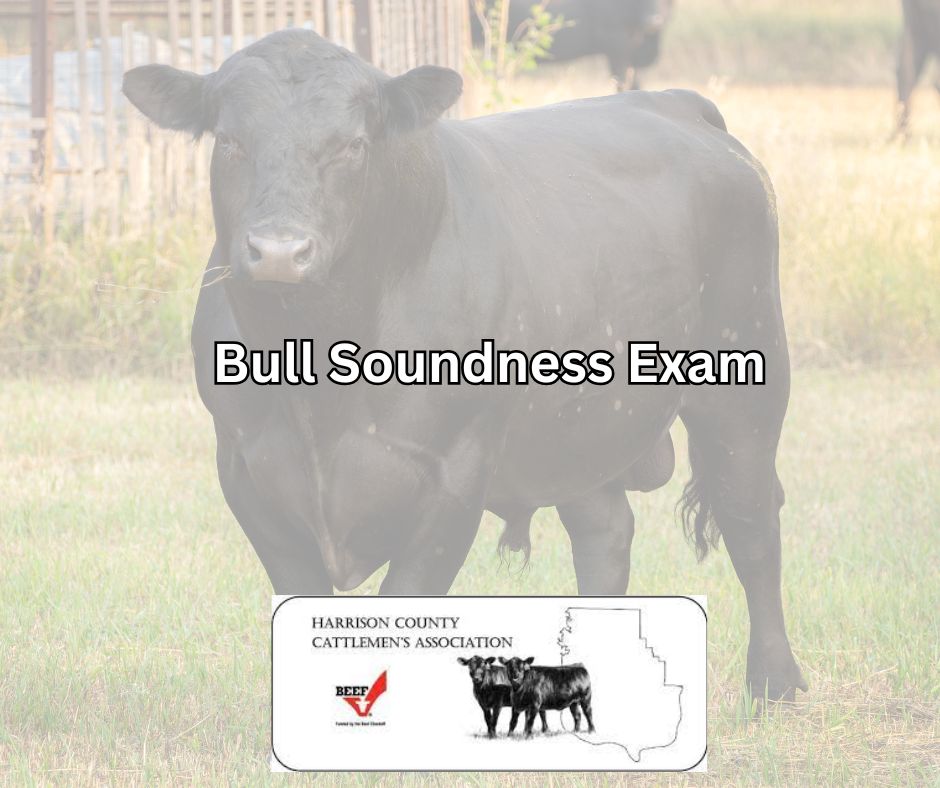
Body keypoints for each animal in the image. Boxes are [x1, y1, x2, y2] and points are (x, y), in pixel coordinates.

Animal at [122, 28, 807, 702]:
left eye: (353, 145)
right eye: (229, 141)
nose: (280, 252)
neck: (319, 386)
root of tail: (674, 101)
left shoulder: (453, 477)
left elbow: (405, 603)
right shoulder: (247, 473)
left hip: (747, 386)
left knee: (750, 520)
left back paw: (775, 682)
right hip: (574, 431)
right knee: (606, 533)